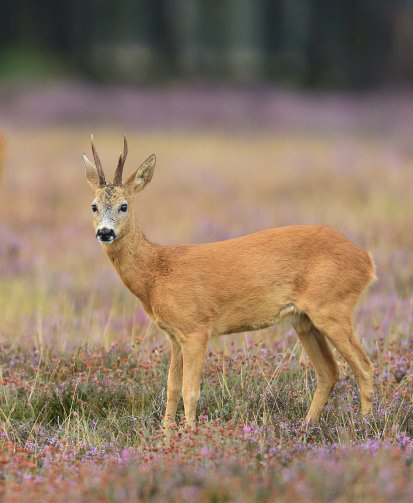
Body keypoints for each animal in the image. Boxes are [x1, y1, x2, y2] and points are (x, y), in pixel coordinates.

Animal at [83, 136, 376, 428]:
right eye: (94, 206)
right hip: (304, 319)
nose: (105, 232)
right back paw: (308, 426)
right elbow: (171, 389)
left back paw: (365, 424)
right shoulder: (174, 336)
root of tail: (366, 260)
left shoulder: (196, 328)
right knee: (329, 371)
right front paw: (166, 434)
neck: (157, 271)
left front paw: (190, 433)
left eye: (124, 205)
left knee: (364, 366)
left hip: (333, 307)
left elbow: (190, 391)